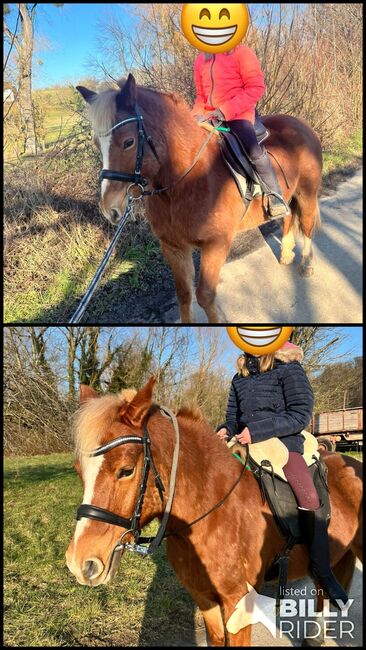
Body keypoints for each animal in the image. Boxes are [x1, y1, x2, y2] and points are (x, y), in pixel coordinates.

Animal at [65, 378, 360, 644]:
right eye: (79, 471)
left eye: (126, 470)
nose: (80, 563)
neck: (213, 512)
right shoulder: (204, 599)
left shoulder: (238, 604)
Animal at [76, 74, 320, 322]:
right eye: (97, 144)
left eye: (128, 142)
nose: (109, 208)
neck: (186, 180)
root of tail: (300, 124)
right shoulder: (173, 247)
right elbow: (184, 295)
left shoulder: (215, 244)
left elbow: (205, 295)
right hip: (291, 194)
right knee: (289, 217)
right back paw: (286, 253)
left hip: (307, 193)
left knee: (307, 224)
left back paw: (307, 264)